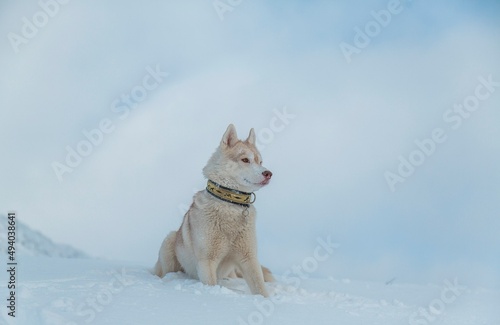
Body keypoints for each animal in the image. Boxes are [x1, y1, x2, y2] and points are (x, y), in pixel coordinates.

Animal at [155, 123, 276, 294]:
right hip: (169, 241)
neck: (230, 203)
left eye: (260, 161)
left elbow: (260, 289)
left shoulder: (249, 258)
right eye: (245, 160)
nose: (268, 173)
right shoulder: (207, 260)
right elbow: (211, 285)